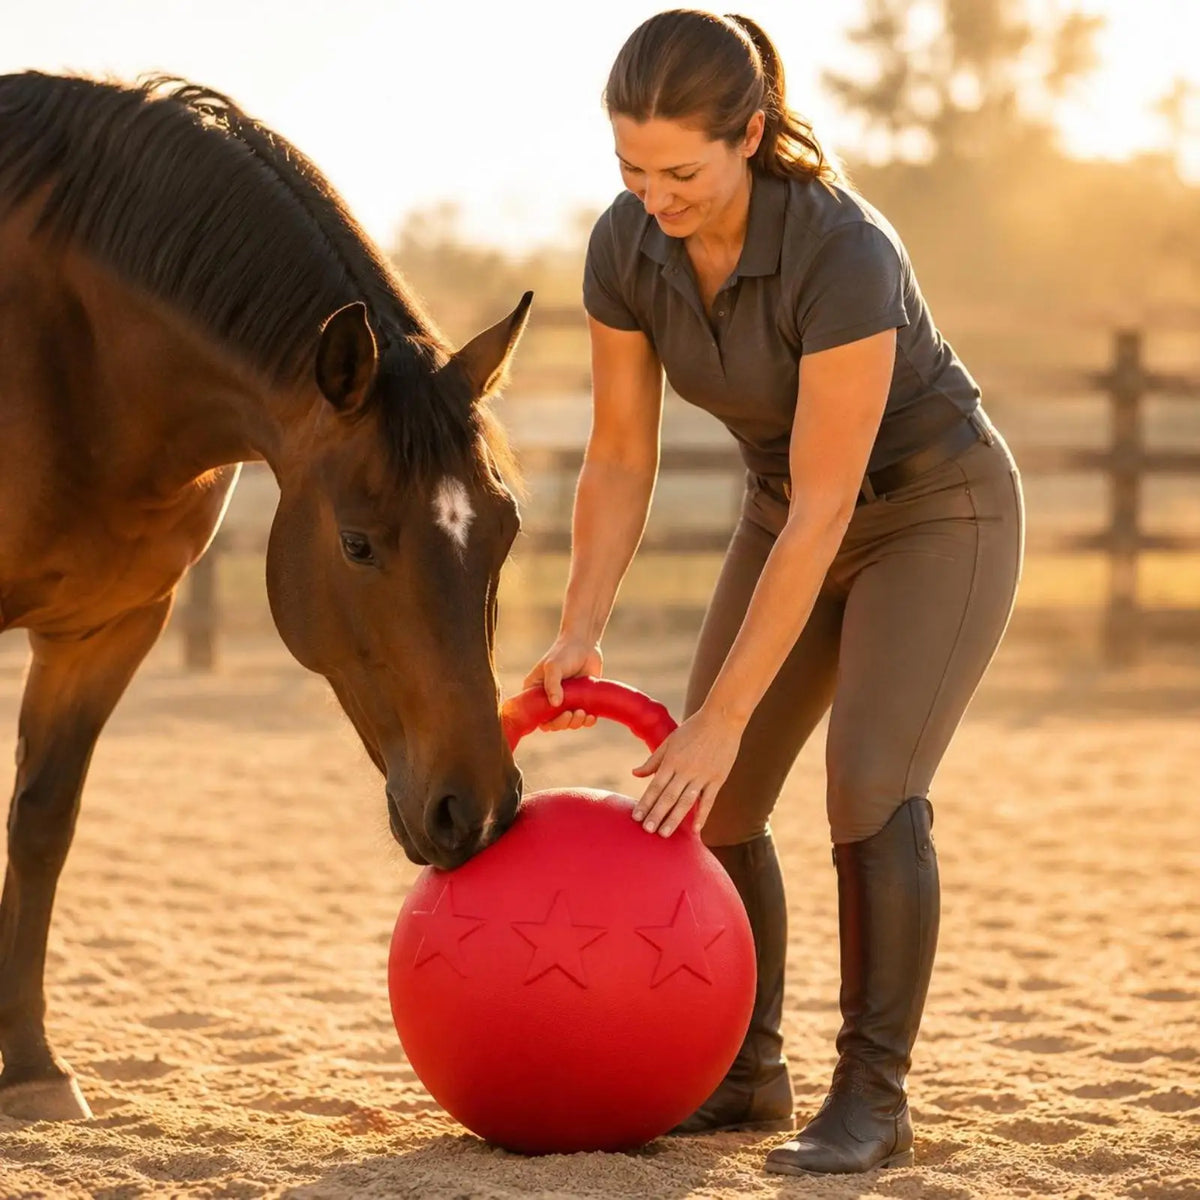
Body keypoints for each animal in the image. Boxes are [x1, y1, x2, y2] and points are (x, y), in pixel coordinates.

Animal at [0, 72, 532, 1122]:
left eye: (507, 530)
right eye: (357, 542)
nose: (478, 812)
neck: (64, 347)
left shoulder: (110, 627)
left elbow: (41, 823)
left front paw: (33, 1070)